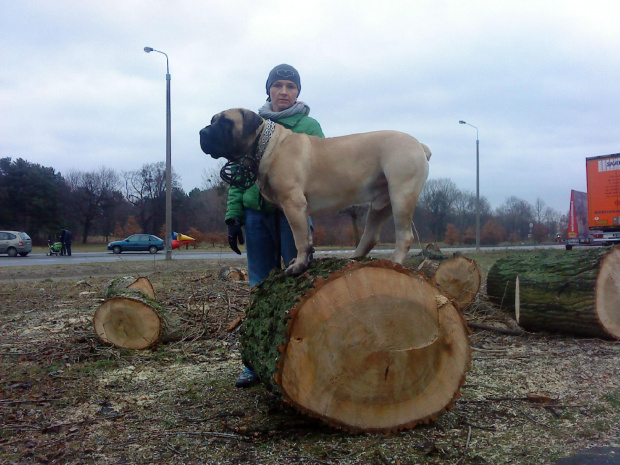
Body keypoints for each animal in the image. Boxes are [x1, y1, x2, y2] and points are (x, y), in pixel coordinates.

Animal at [200, 109, 432, 276]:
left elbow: (300, 239)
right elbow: (307, 238)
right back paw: (353, 259)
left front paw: (298, 267)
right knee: (370, 236)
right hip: (381, 204)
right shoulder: (299, 208)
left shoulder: (293, 204)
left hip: (401, 196)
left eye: (225, 123)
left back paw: (394, 262)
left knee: (404, 236)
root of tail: (419, 145)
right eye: (213, 120)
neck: (266, 146)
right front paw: (301, 261)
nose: (202, 132)